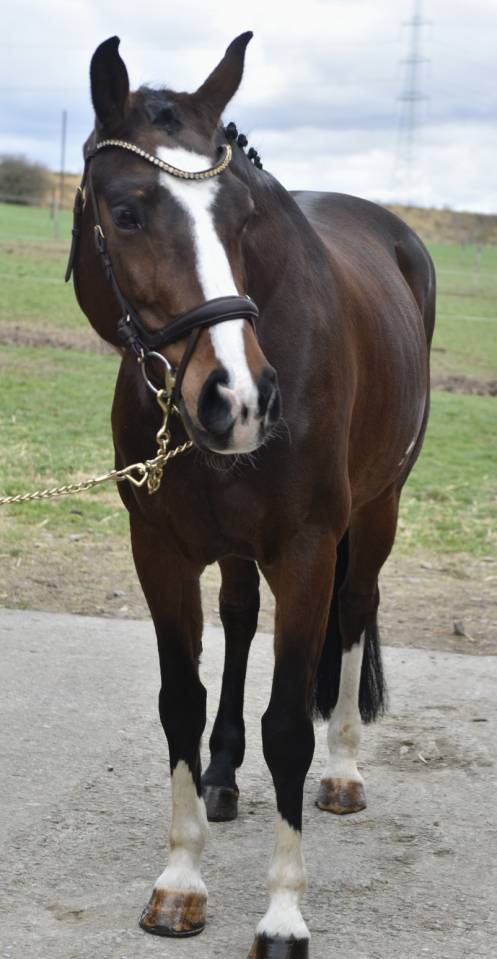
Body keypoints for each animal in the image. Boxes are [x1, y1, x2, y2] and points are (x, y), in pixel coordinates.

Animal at [68, 32, 435, 959]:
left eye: (240, 220)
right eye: (126, 211)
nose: (237, 397)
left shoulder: (305, 552)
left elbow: (288, 726)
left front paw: (282, 914)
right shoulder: (160, 551)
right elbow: (181, 702)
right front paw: (179, 881)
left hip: (376, 512)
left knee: (356, 608)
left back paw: (343, 771)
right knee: (236, 619)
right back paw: (225, 775)